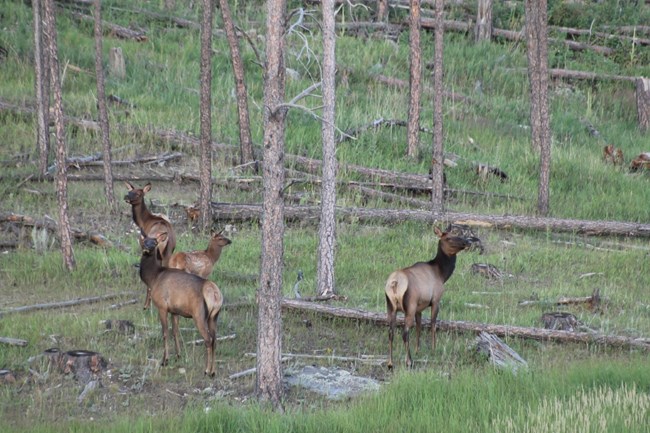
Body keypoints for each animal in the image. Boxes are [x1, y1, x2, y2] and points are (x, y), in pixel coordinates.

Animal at [137, 231, 223, 376]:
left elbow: (165, 333)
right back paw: (213, 371)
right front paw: (178, 355)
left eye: (154, 243)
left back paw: (206, 370)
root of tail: (215, 294)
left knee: (208, 339)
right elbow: (175, 332)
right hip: (214, 316)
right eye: (144, 241)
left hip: (199, 314)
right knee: (215, 340)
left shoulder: (162, 306)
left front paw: (165, 360)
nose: (146, 249)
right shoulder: (175, 310)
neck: (153, 278)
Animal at [380, 226, 476, 368]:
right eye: (448, 238)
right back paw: (409, 361)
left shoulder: (419, 308)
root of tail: (394, 283)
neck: (442, 274)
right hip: (409, 305)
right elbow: (433, 324)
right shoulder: (436, 300)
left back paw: (390, 362)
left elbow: (419, 327)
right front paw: (433, 348)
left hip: (390, 306)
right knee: (405, 332)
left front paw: (417, 349)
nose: (467, 242)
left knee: (390, 332)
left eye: (456, 233)